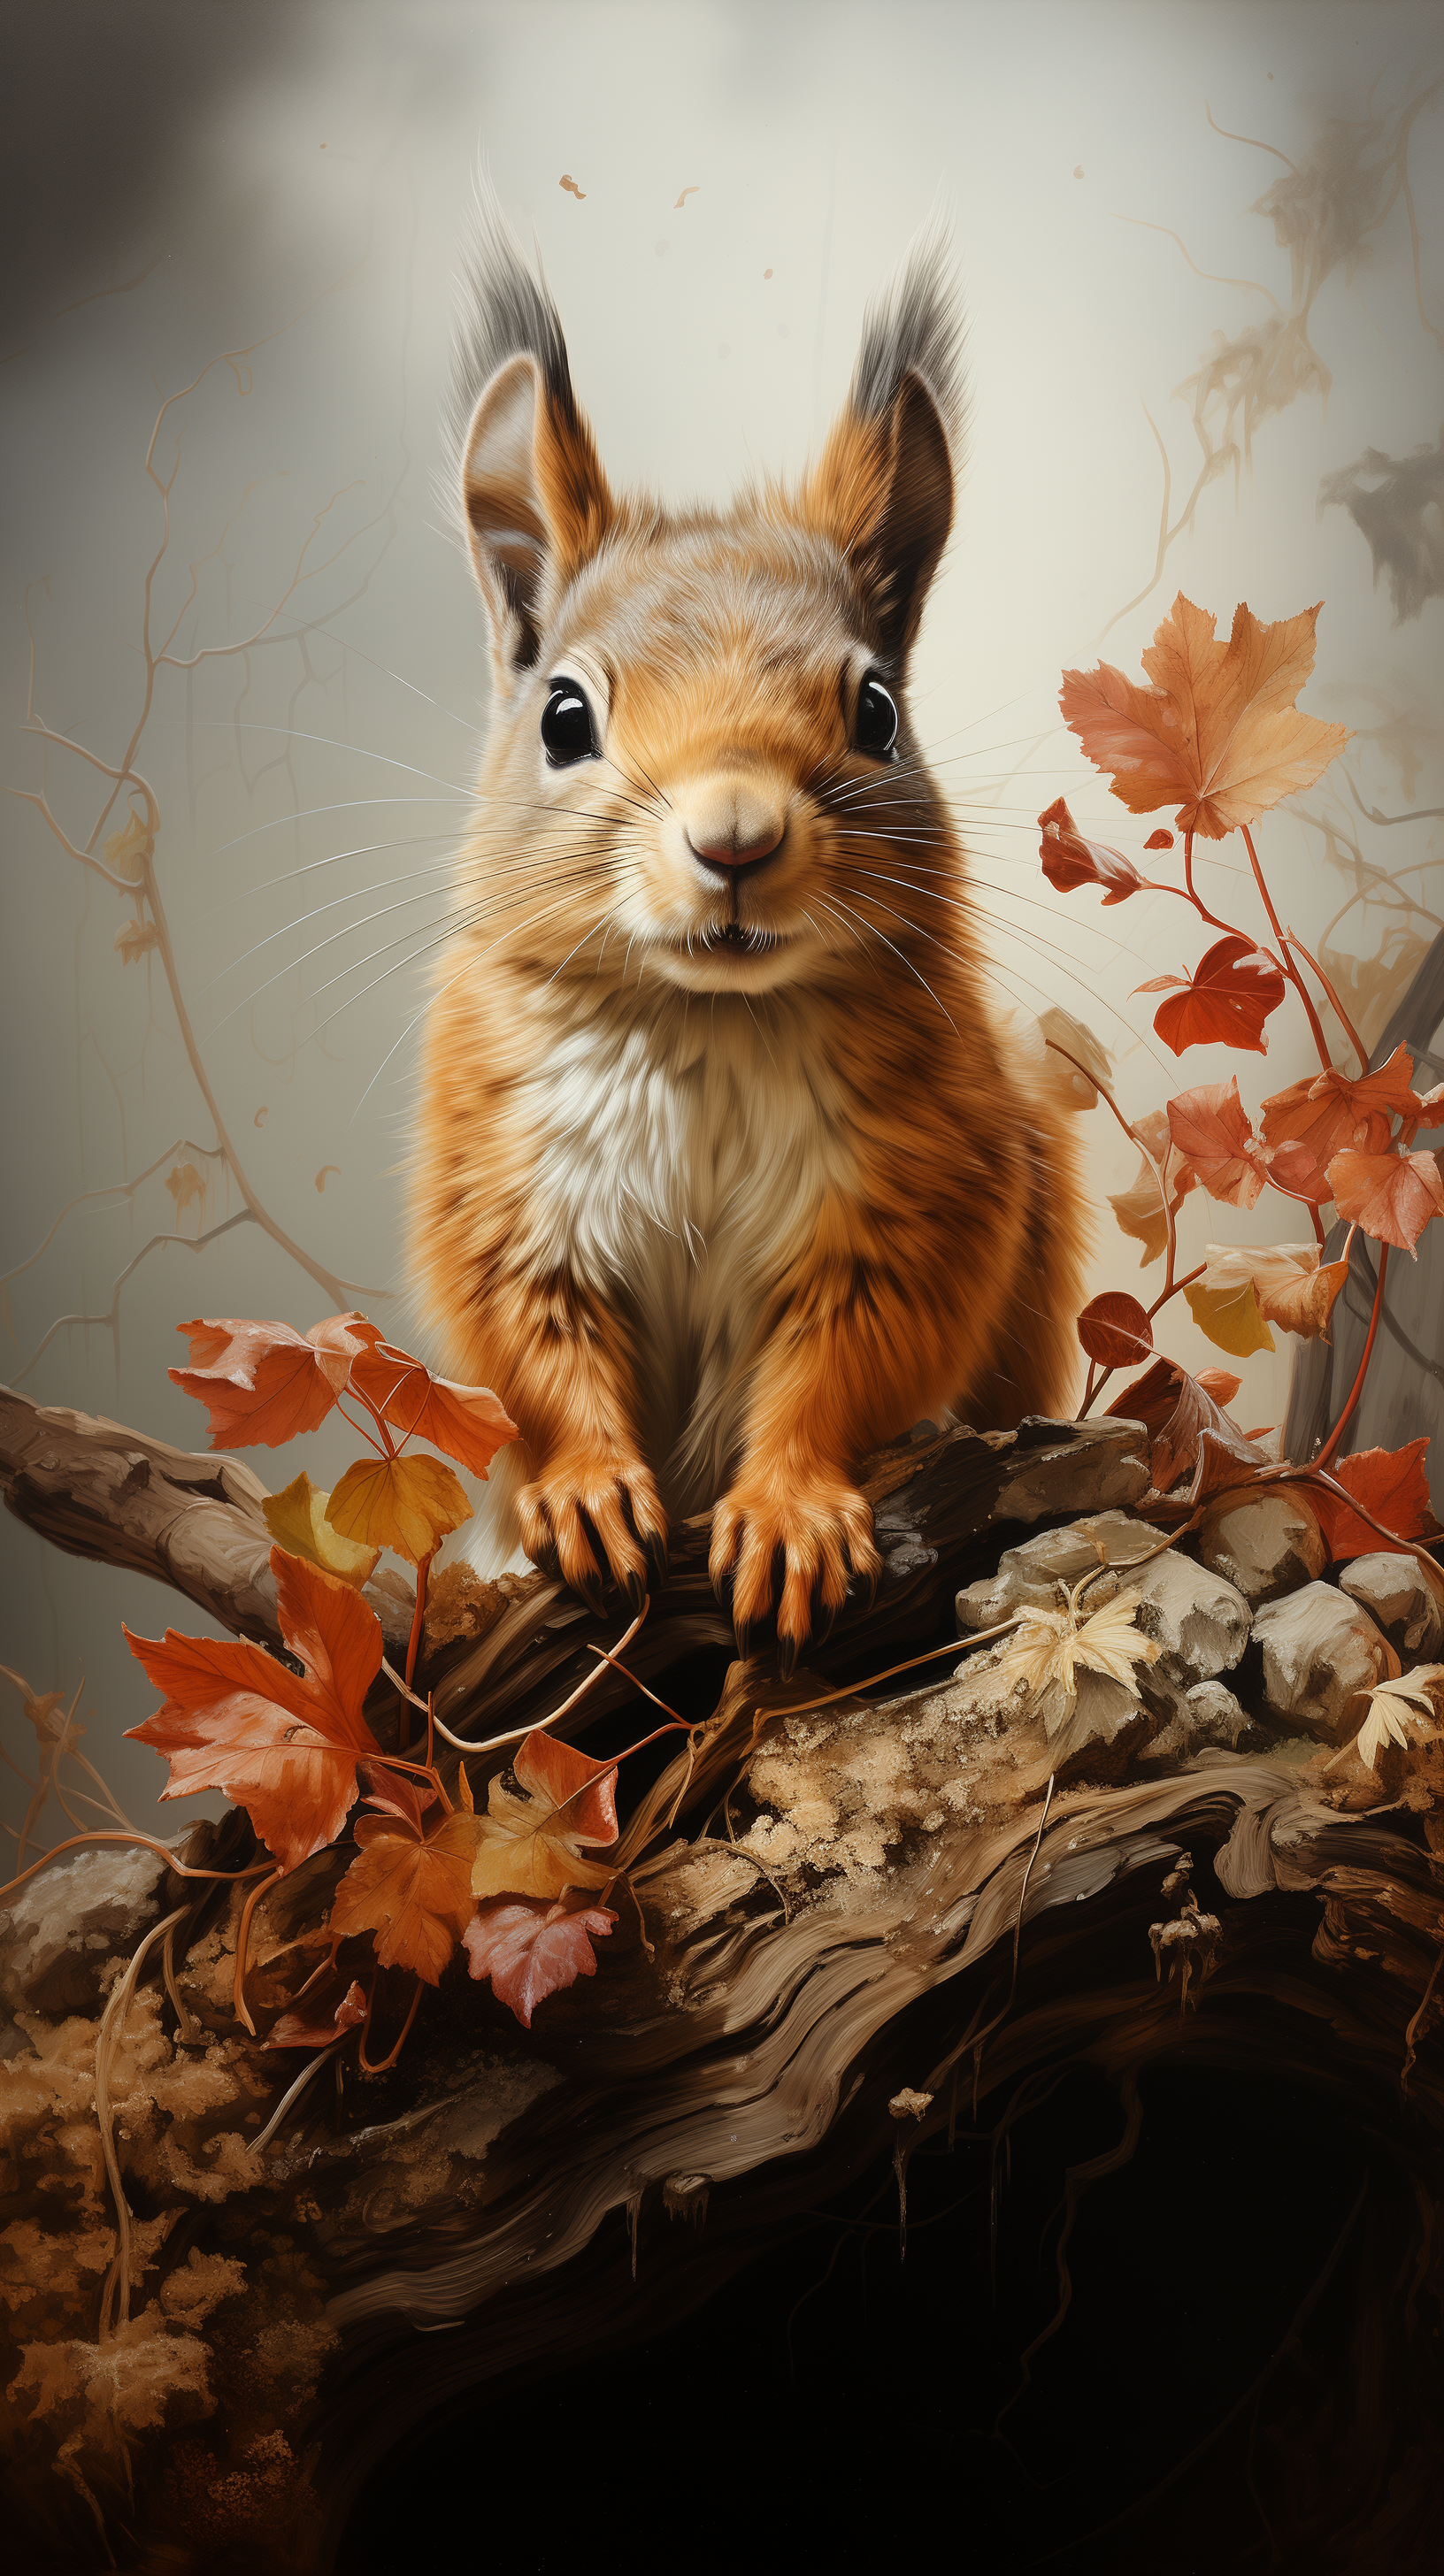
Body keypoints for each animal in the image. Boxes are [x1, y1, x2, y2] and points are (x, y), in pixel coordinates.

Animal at [411, 193, 1087, 1676]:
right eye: (562, 716)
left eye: (877, 709)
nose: (734, 836)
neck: (707, 1019)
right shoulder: (510, 1195)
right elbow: (540, 1359)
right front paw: (585, 1493)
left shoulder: (913, 1197)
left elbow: (842, 1371)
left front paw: (786, 1516)